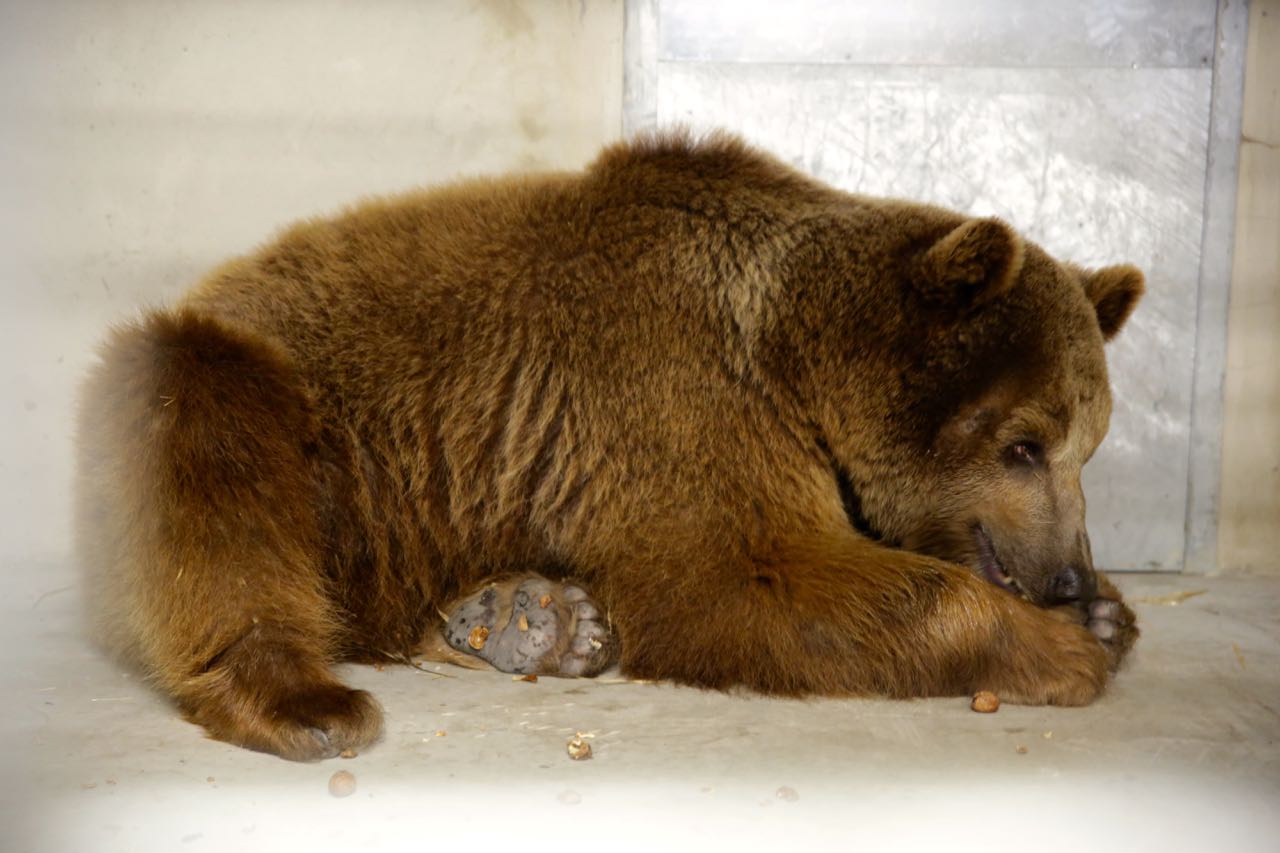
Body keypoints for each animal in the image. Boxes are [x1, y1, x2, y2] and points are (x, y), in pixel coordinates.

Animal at [75, 131, 1143, 761]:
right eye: (1025, 445)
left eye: (1088, 446)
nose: (1062, 574)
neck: (786, 352)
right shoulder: (670, 389)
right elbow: (736, 576)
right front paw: (1058, 648)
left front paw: (1107, 616)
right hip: (295, 418)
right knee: (214, 457)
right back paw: (306, 702)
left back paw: (530, 618)